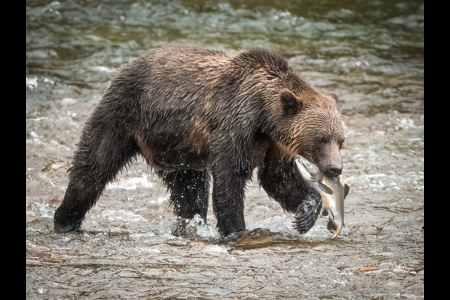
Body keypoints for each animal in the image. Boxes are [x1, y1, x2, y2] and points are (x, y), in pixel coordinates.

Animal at [54, 44, 346, 237]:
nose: (336, 168)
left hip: (176, 148)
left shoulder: (274, 145)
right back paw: (64, 219)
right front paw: (237, 229)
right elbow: (230, 178)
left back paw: (191, 224)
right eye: (321, 138)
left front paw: (305, 214)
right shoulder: (234, 126)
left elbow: (278, 178)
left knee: (189, 189)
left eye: (341, 140)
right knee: (93, 166)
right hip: (123, 115)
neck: (264, 116)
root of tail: (126, 66)